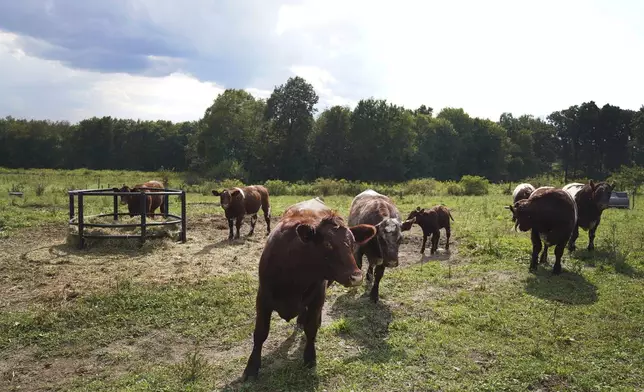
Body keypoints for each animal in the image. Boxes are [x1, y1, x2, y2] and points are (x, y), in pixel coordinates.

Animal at [242, 198, 378, 382]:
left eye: (352, 244)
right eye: (328, 244)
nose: (356, 277)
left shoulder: (317, 297)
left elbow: (311, 329)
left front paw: (310, 357)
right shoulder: (263, 299)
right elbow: (260, 333)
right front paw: (252, 367)